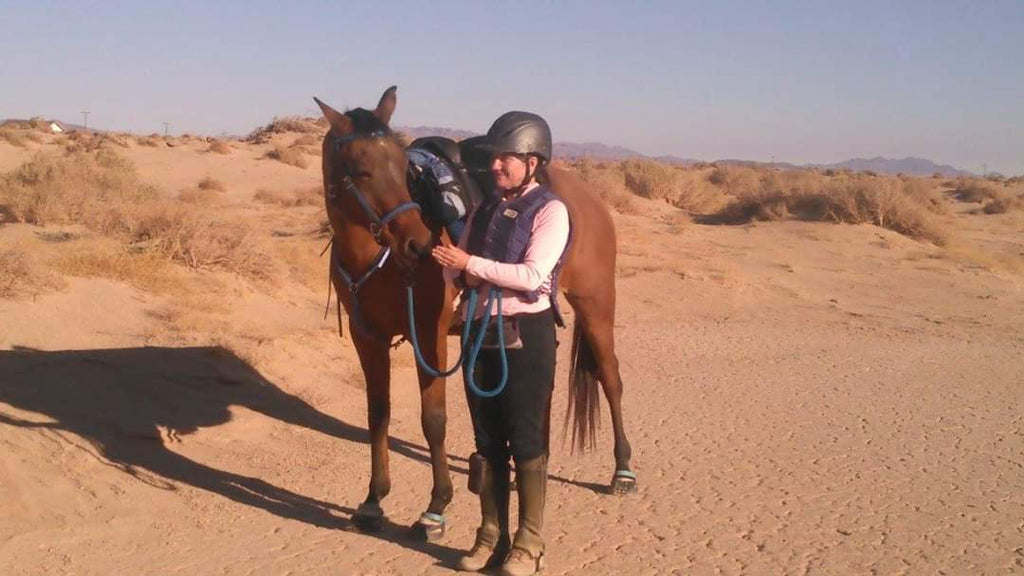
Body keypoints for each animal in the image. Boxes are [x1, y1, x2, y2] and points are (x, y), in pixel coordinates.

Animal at [313, 85, 630, 537]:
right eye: (361, 169)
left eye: (402, 165)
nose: (419, 243)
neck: (377, 258)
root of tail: (588, 195)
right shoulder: (367, 337)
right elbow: (378, 414)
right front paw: (374, 500)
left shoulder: (429, 336)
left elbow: (434, 420)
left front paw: (435, 507)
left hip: (596, 304)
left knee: (610, 378)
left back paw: (622, 470)